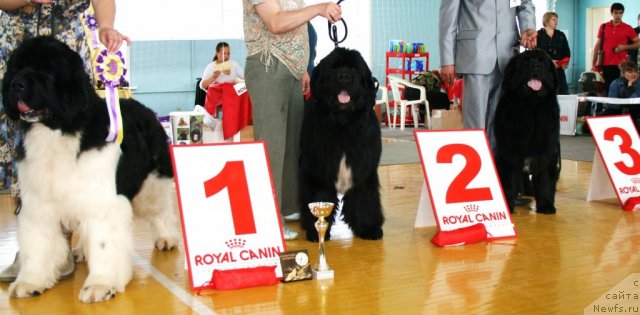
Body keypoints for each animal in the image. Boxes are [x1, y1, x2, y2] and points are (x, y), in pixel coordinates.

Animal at [1, 37, 180, 304]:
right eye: (16, 68)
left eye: (45, 71)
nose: (16, 84)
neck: (59, 130)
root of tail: (145, 109)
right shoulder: (38, 202)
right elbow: (38, 243)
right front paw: (31, 281)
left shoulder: (103, 201)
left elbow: (103, 243)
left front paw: (101, 284)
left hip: (152, 183)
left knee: (159, 210)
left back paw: (165, 237)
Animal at [298, 47, 382, 241]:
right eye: (333, 69)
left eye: (354, 69)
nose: (344, 76)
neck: (343, 124)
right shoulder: (317, 170)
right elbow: (319, 196)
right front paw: (317, 232)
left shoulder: (364, 169)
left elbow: (365, 197)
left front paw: (368, 227)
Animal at [492, 49, 556, 216]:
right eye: (525, 61)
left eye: (543, 62)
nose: (536, 66)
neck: (531, 105)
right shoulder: (508, 153)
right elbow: (508, 181)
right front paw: (508, 205)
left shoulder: (546, 150)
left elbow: (545, 179)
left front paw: (546, 205)